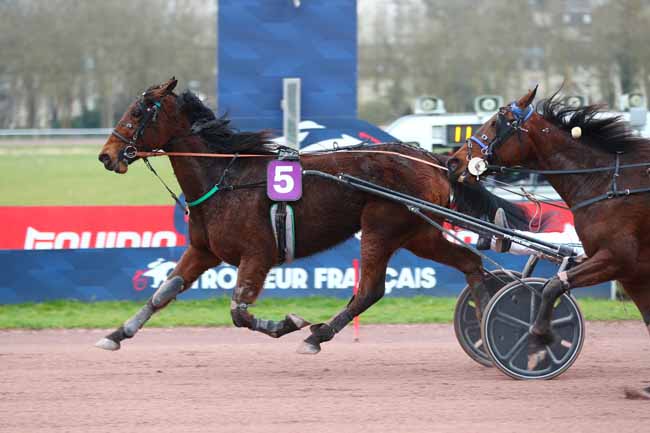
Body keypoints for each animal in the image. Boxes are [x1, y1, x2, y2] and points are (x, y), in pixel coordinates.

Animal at [97, 77, 532, 354]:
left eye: (138, 112)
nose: (106, 155)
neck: (226, 177)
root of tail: (433, 160)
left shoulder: (257, 255)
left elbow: (239, 312)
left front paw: (288, 324)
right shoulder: (203, 251)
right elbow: (163, 293)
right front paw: (117, 333)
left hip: (383, 228)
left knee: (370, 290)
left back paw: (316, 336)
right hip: (417, 234)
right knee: (471, 262)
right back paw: (489, 327)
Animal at [448, 88, 648, 398]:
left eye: (495, 123)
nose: (454, 161)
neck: (609, 184)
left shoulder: (617, 259)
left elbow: (552, 286)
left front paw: (539, 338)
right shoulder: (631, 272)